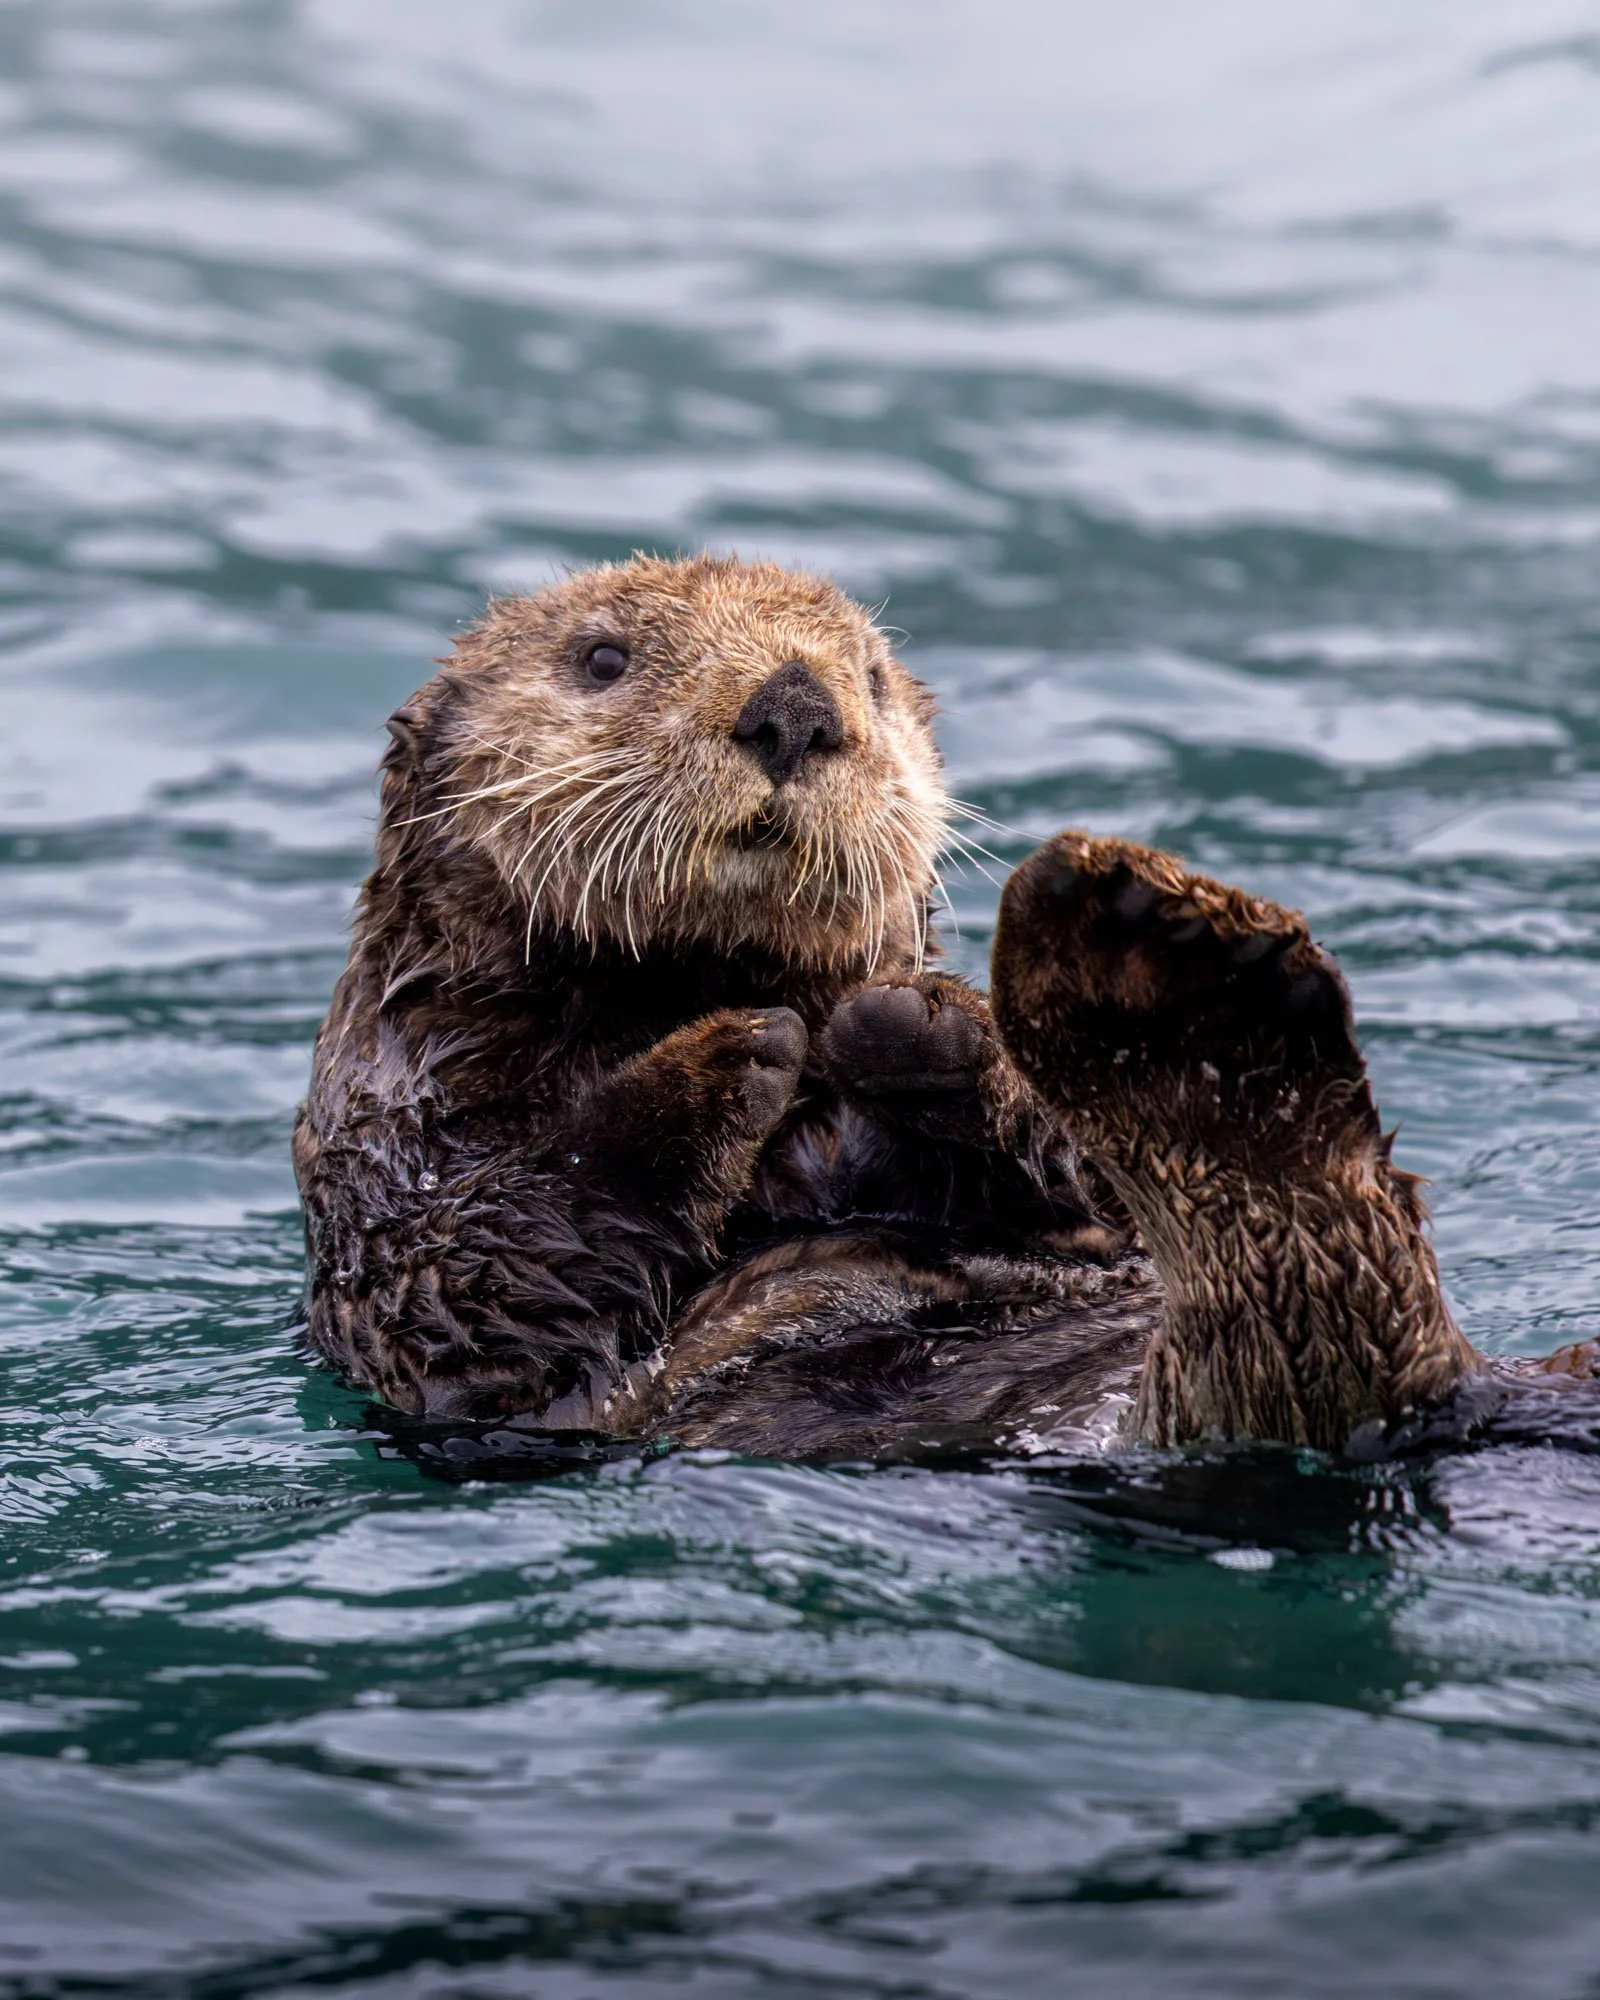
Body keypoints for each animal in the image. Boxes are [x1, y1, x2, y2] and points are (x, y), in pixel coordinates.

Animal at [294, 554, 1599, 1461]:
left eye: (868, 674)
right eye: (603, 657)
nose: (795, 704)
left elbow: (1079, 1188)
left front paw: (917, 1024)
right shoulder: (386, 1157)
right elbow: (472, 1271)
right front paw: (729, 1055)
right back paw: (1184, 1001)